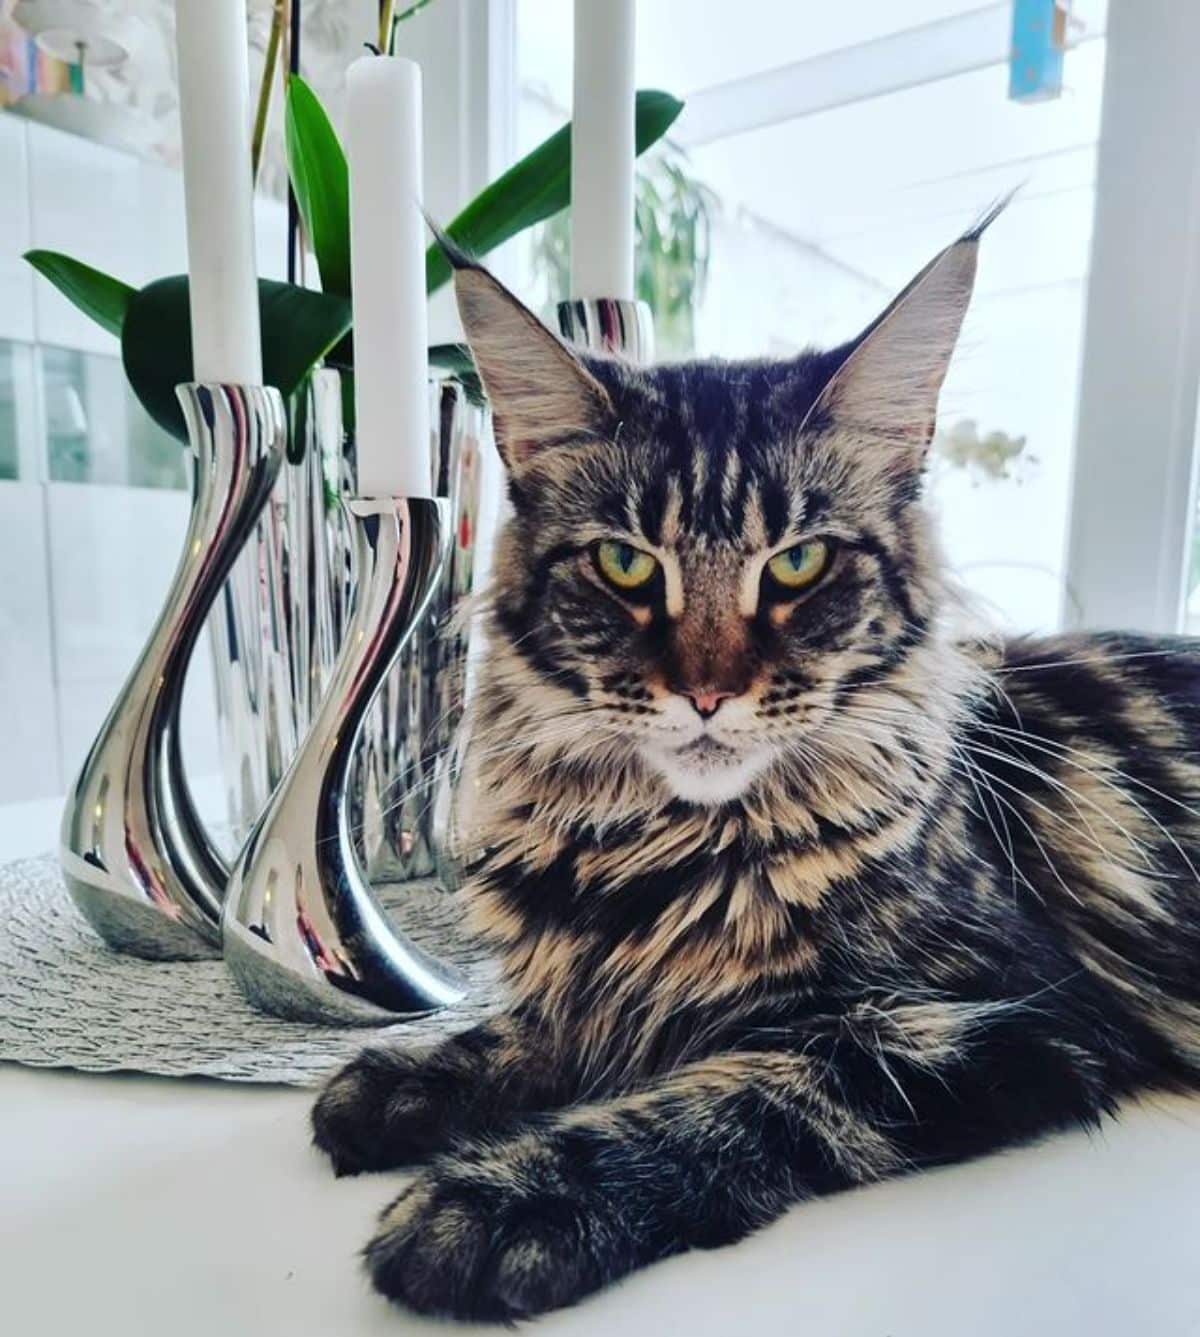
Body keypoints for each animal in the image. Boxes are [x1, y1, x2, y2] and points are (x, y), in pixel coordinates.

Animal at [306, 213, 1197, 1320]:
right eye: (626, 563)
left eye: (800, 563)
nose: (707, 691)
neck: (659, 860)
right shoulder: (594, 976)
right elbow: (541, 1026)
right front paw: (410, 1080)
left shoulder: (1003, 1018)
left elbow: (734, 1096)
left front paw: (503, 1199)